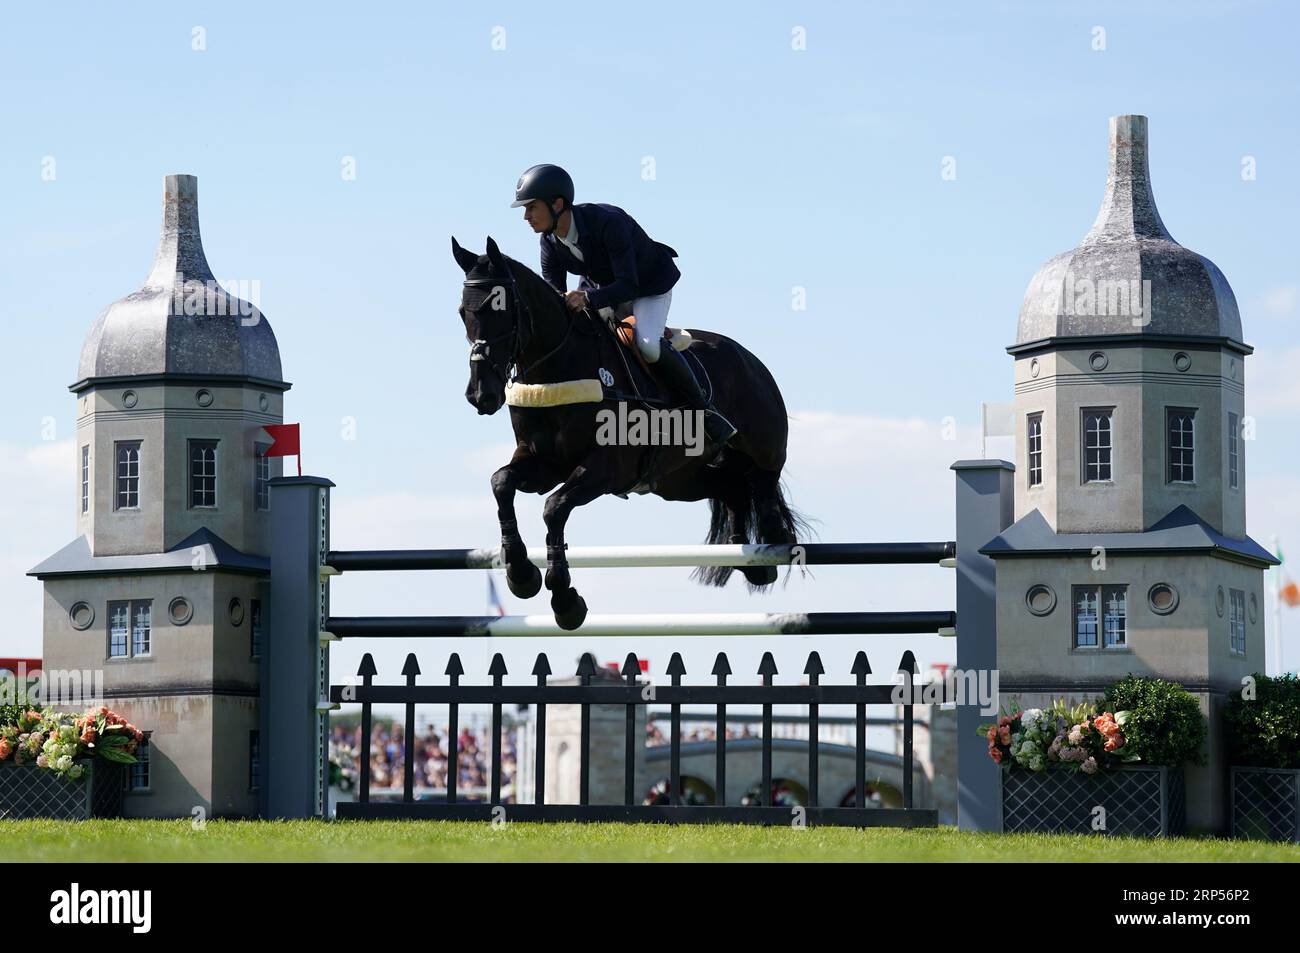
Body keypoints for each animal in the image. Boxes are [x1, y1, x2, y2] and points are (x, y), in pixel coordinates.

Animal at [452, 234, 806, 629]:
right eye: (463, 313)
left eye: (500, 309)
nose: (481, 395)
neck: (559, 367)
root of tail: (748, 356)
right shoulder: (543, 462)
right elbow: (502, 483)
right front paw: (520, 573)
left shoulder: (606, 468)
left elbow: (553, 508)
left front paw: (564, 599)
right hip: (678, 481)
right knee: (731, 489)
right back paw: (751, 561)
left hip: (763, 446)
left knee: (764, 481)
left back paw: (774, 540)